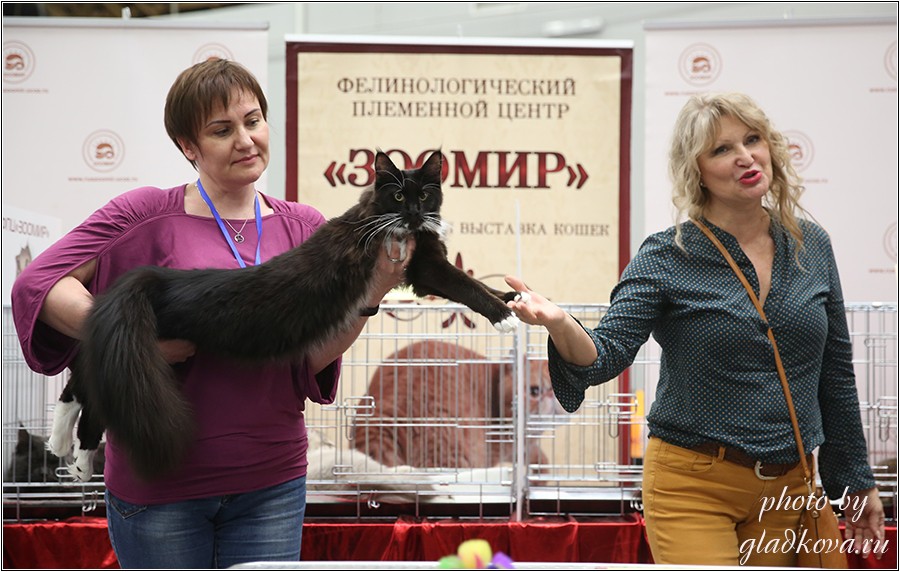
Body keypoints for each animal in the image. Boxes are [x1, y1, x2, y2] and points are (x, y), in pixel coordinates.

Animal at [50, 150, 528, 482]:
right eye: (396, 194)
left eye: (425, 193)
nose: (412, 213)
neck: (389, 221)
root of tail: (159, 280)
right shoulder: (425, 268)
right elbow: (466, 286)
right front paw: (503, 313)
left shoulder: (426, 263)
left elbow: (478, 286)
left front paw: (512, 296)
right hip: (146, 354)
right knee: (96, 395)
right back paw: (79, 456)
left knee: (82, 379)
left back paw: (61, 441)